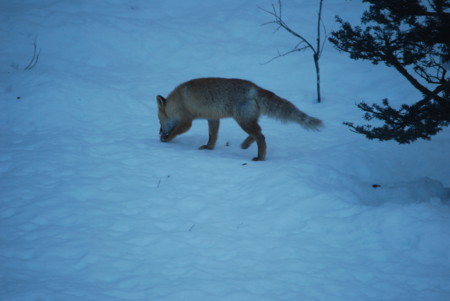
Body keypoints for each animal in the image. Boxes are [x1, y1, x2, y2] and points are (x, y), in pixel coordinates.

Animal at [156, 78, 322, 161]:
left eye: (159, 121)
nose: (159, 132)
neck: (177, 101)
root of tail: (255, 87)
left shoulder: (187, 120)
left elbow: (176, 132)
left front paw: (166, 139)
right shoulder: (213, 118)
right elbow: (212, 137)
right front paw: (208, 148)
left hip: (243, 121)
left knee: (261, 136)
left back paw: (260, 158)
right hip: (247, 120)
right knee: (259, 132)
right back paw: (246, 145)